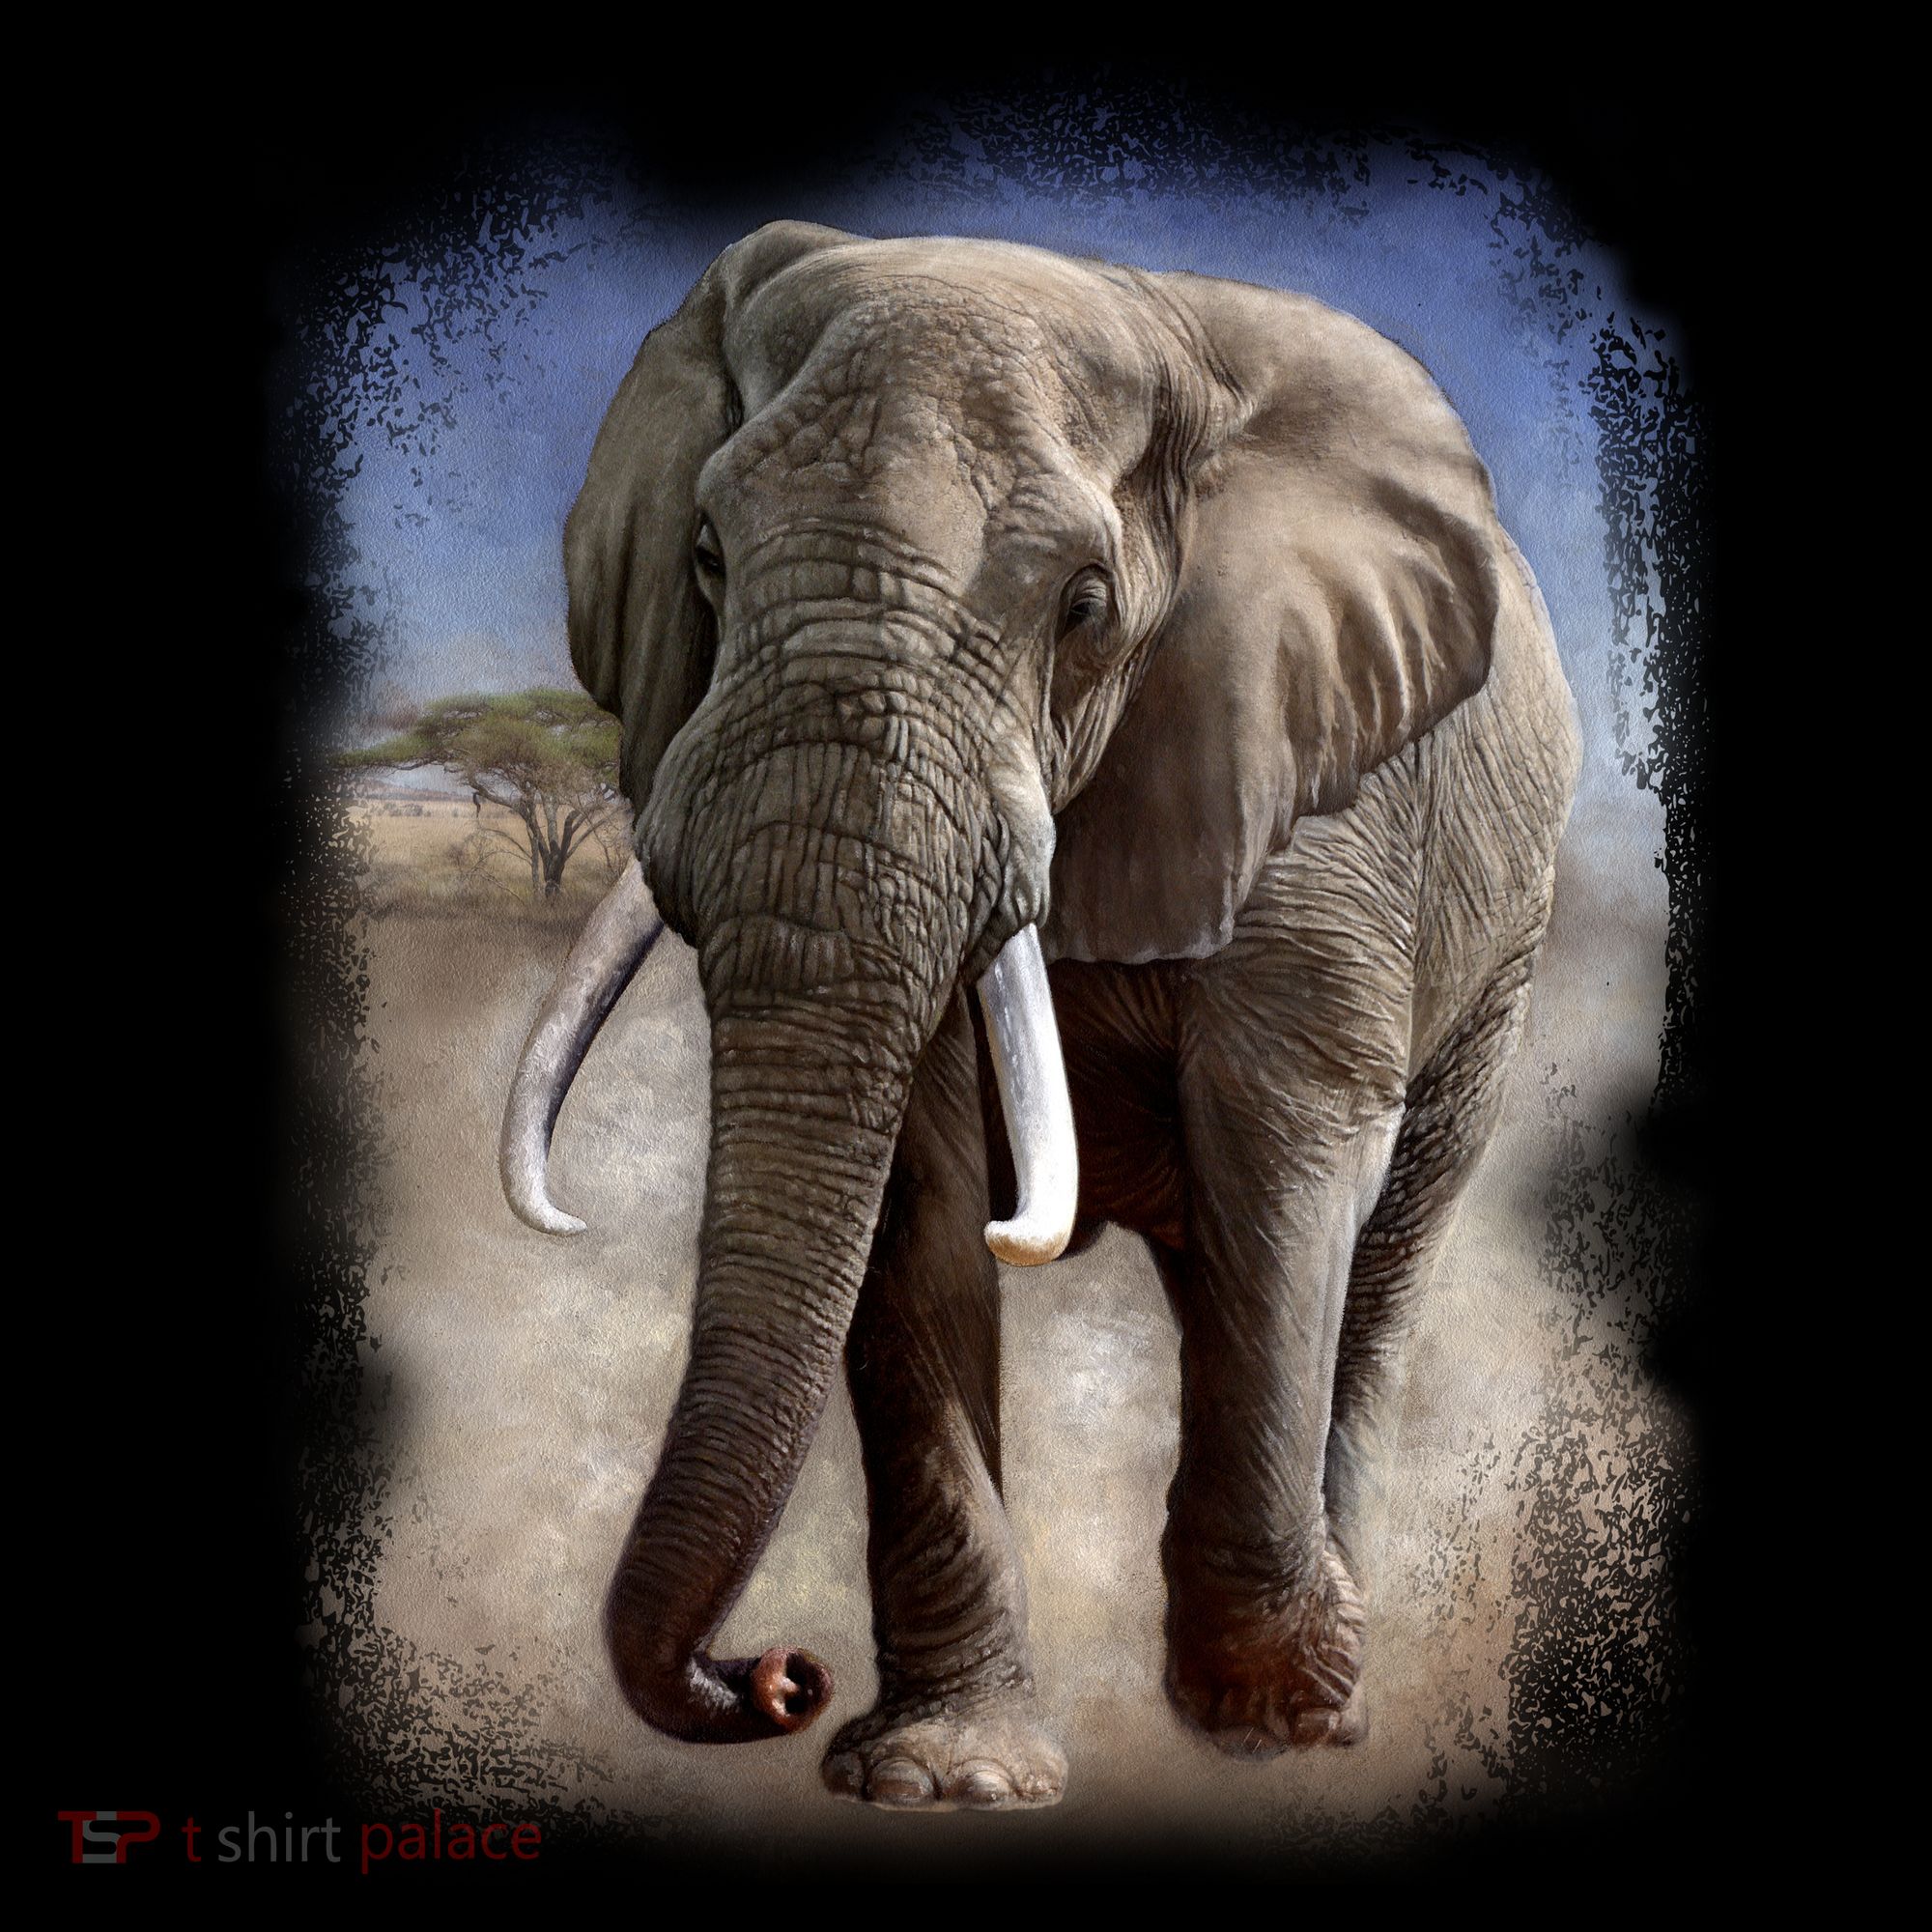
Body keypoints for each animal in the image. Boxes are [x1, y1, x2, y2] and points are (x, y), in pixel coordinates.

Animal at [497, 222, 1581, 1810]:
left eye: (1081, 606)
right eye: (704, 555)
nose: (775, 1674)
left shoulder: (1316, 777)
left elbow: (1284, 1133)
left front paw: (1278, 1716)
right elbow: (919, 1179)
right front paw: (943, 1779)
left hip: (1504, 938)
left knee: (1373, 1257)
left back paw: (1315, 1678)